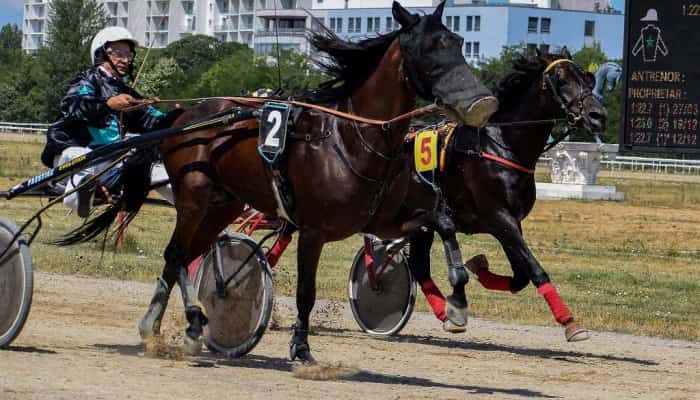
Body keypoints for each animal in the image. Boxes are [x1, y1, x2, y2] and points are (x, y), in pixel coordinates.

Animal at [61, 0, 498, 362]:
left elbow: (442, 222)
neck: (350, 137)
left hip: (223, 204)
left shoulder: (381, 219)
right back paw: (193, 322)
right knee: (177, 254)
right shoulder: (314, 229)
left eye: (458, 41)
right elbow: (306, 291)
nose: (482, 103)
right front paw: (301, 349)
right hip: (194, 195)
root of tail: (187, 115)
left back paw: (158, 327)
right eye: (427, 48)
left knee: (182, 256)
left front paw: (457, 303)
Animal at [404, 48, 608, 340]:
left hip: (422, 223)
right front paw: (570, 322)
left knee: (419, 266)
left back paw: (446, 314)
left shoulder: (510, 221)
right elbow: (535, 269)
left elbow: (520, 275)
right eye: (561, 80)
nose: (597, 115)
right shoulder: (499, 216)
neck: (502, 146)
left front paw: (479, 267)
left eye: (586, 77)